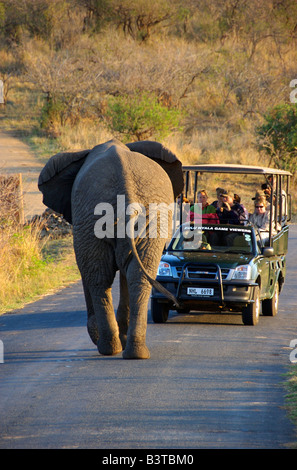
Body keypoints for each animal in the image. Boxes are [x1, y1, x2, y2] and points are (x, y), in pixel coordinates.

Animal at [38, 138, 184, 358]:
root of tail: (126, 190)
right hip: (147, 222)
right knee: (136, 276)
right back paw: (133, 352)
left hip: (95, 220)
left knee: (99, 277)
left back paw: (109, 347)